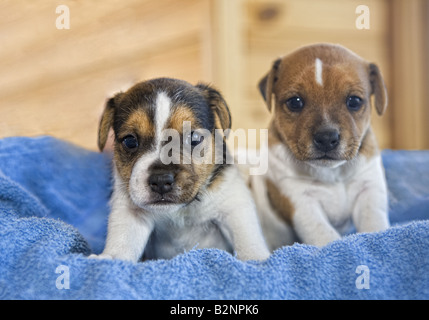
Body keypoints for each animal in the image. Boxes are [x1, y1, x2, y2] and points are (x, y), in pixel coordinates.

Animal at [92, 78, 270, 262]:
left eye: (194, 138)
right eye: (130, 141)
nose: (161, 181)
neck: (181, 210)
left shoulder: (234, 205)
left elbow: (246, 237)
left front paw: (257, 259)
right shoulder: (130, 213)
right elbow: (123, 242)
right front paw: (109, 258)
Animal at [249, 43, 390, 248]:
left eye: (354, 101)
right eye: (295, 102)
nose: (326, 138)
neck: (332, 173)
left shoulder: (369, 189)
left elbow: (374, 224)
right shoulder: (301, 203)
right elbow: (324, 235)